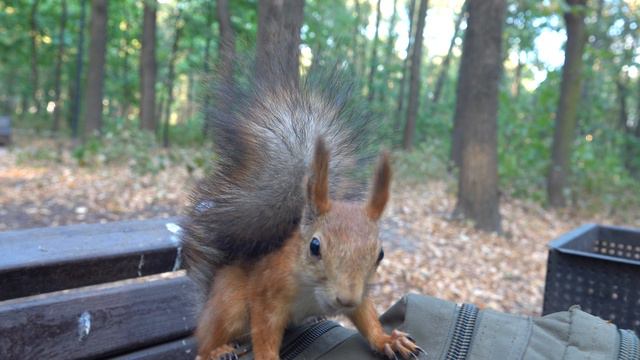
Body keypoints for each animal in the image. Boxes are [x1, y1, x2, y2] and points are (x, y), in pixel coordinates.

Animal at [180, 68, 422, 360]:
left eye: (381, 254)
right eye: (314, 246)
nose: (345, 299)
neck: (314, 292)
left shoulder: (360, 293)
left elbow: (366, 317)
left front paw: (388, 339)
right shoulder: (267, 293)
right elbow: (264, 332)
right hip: (231, 303)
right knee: (205, 344)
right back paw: (218, 350)